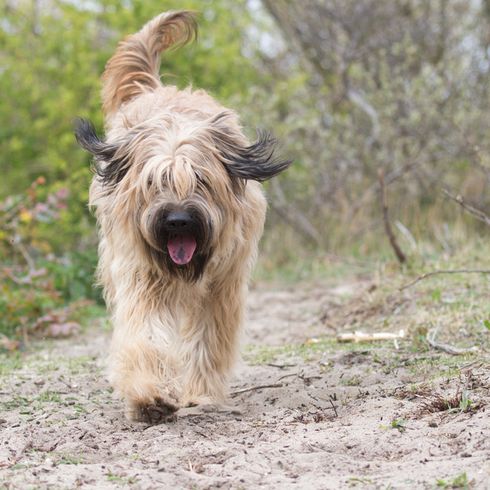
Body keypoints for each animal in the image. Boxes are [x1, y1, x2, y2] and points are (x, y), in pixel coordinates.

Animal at [75, 9, 290, 424]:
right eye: (154, 182)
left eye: (201, 180)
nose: (177, 221)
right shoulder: (142, 275)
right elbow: (144, 333)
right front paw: (150, 395)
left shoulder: (223, 284)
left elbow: (208, 338)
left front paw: (201, 394)